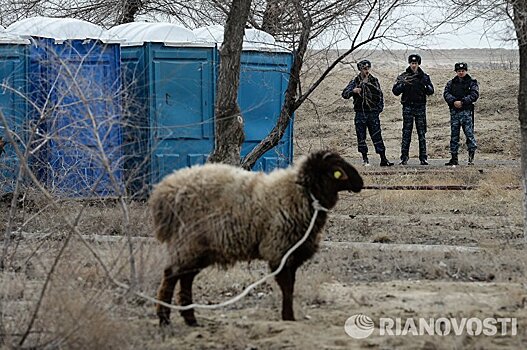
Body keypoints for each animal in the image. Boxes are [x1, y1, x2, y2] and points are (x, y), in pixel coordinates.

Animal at [148, 150, 364, 326]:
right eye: (338, 171)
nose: (361, 183)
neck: (300, 193)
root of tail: (164, 192)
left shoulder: (291, 254)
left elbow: (291, 286)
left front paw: (288, 316)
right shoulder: (278, 250)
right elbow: (287, 287)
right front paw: (288, 318)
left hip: (198, 248)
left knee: (185, 278)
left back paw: (190, 319)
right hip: (188, 242)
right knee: (171, 275)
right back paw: (164, 319)